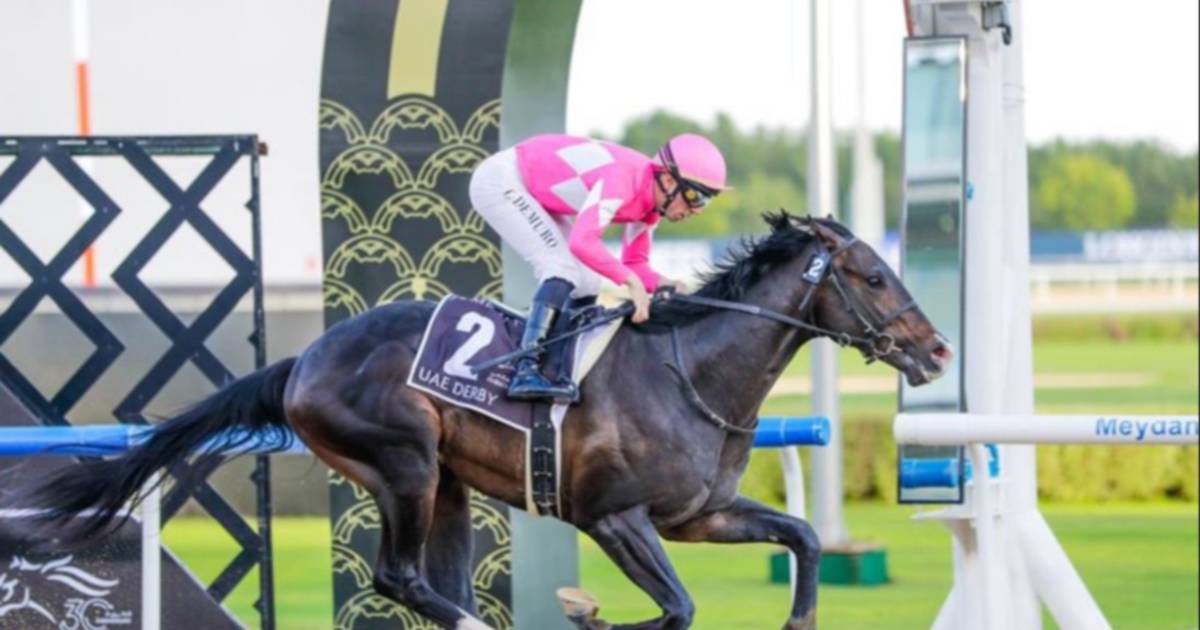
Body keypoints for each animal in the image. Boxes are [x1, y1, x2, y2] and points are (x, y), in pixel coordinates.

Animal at [16, 212, 952, 630]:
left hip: (451, 487)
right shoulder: (615, 518)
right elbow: (678, 609)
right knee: (398, 577)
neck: (690, 371)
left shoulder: (700, 514)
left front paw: (799, 616)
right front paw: (588, 612)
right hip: (406, 464)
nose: (938, 349)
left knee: (430, 576)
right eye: (872, 275)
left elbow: (803, 535)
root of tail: (304, 360)